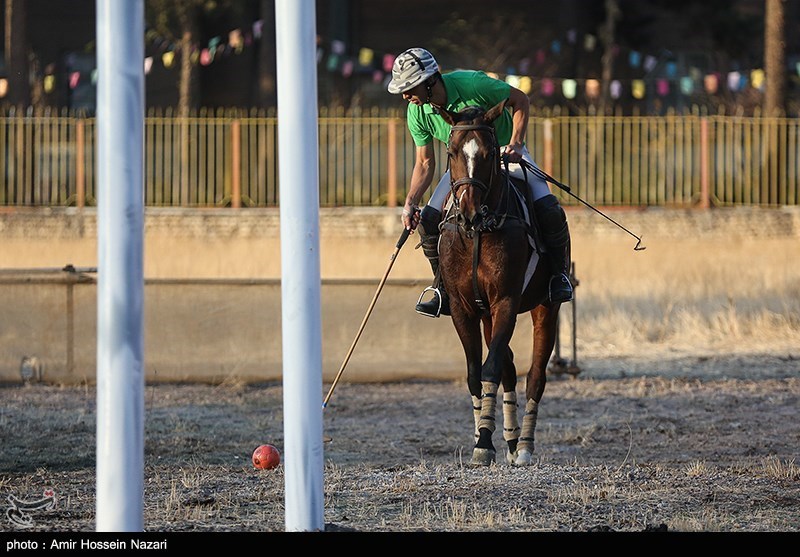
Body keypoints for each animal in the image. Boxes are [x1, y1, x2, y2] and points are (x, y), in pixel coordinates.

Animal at [438, 100, 564, 464]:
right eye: (451, 151)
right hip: (486, 316)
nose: (469, 212)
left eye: (489, 152)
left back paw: (524, 446)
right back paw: (509, 437)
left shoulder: (506, 300)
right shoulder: (463, 308)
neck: (479, 233)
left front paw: (483, 442)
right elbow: (475, 372)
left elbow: (491, 367)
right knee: (508, 365)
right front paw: (484, 436)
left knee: (535, 376)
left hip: (545, 308)